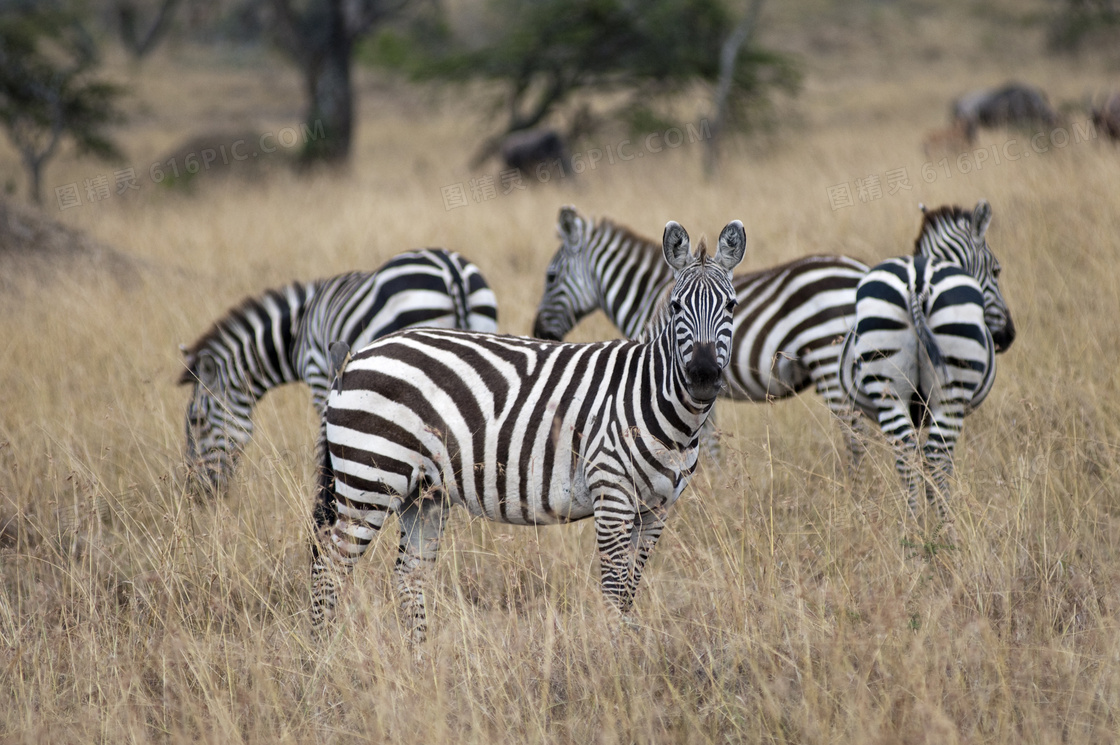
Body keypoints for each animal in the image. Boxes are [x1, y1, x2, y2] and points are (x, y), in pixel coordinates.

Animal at [176, 248, 497, 510]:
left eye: (196, 420)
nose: (196, 496)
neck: (294, 336)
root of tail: (450, 270)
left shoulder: (320, 376)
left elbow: (325, 435)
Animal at [315, 218, 748, 640]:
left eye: (731, 305)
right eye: (676, 306)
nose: (704, 376)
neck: (657, 401)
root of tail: (353, 360)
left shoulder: (657, 510)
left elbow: (628, 592)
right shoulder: (611, 493)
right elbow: (613, 591)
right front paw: (617, 655)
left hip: (423, 494)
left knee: (409, 576)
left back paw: (420, 659)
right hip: (369, 479)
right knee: (330, 567)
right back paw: (322, 655)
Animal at [528, 203, 869, 459]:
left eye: (551, 277)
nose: (539, 332)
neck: (647, 295)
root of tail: (862, 271)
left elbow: (704, 444)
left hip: (828, 360)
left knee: (855, 435)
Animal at [842, 200, 1016, 519]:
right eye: (996, 271)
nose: (1008, 335)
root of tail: (917, 281)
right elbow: (941, 462)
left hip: (888, 386)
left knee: (906, 453)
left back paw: (912, 525)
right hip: (951, 393)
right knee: (935, 455)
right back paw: (945, 526)